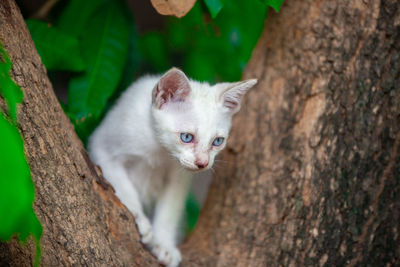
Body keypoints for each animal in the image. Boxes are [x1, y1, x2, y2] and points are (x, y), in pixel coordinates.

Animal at [87, 68, 256, 266]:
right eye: (186, 137)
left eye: (217, 141)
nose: (202, 163)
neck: (159, 149)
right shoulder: (102, 148)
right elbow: (122, 185)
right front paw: (138, 217)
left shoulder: (178, 179)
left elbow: (169, 212)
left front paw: (164, 246)